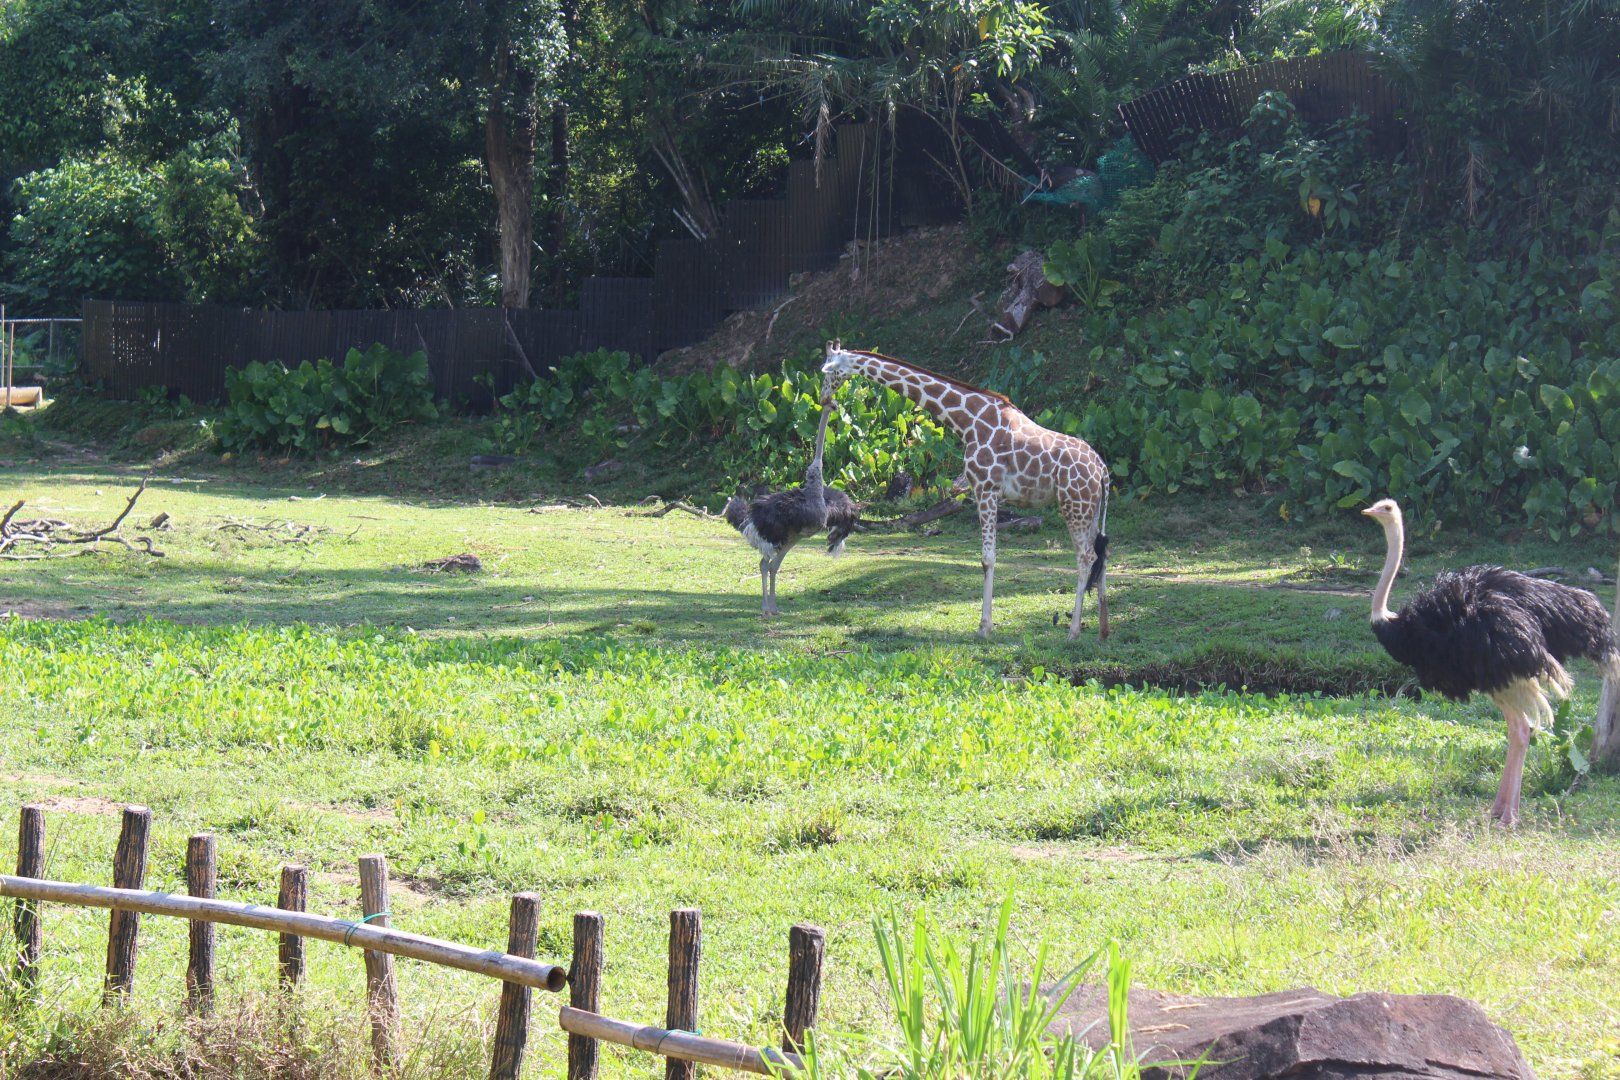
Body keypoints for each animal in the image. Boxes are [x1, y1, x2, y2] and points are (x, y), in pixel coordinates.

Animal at [820, 341, 1111, 641]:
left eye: (826, 371)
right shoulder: (985, 492)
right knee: (1102, 554)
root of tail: (1102, 469)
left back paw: (1073, 632)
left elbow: (987, 558)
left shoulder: (986, 489)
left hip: (1074, 505)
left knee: (1086, 557)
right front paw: (986, 625)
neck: (967, 420)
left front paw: (984, 628)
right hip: (1090, 508)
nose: (823, 398)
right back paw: (1102, 631)